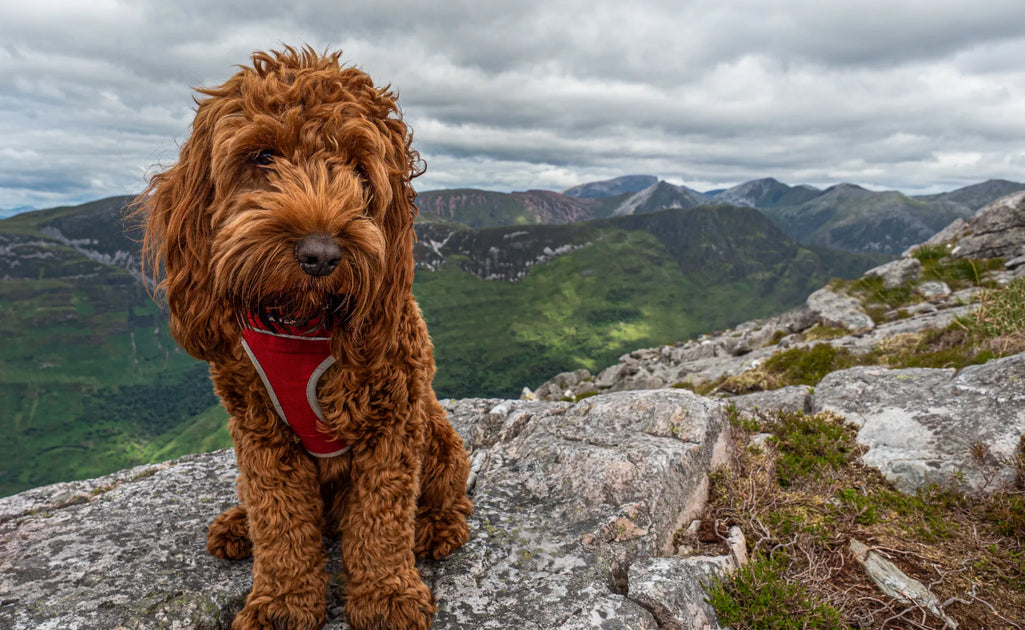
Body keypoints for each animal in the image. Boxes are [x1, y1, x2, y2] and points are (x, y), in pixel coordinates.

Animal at [136, 48, 471, 630]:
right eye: (263, 156)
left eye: (359, 168)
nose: (321, 254)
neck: (301, 321)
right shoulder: (259, 431)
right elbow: (280, 520)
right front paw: (283, 602)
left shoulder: (392, 424)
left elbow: (382, 519)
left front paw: (386, 595)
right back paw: (238, 524)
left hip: (439, 436)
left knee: (442, 498)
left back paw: (436, 527)